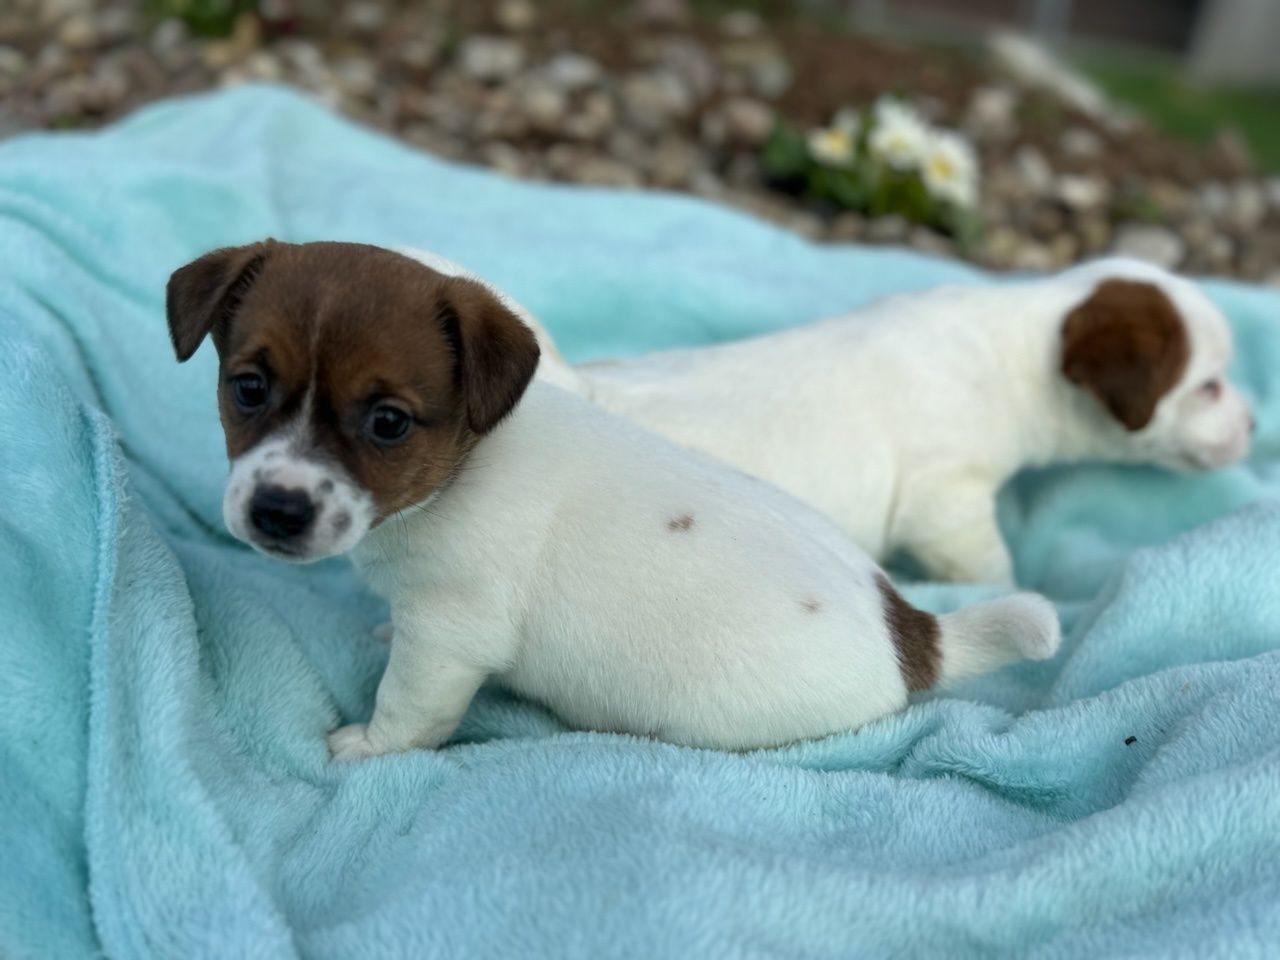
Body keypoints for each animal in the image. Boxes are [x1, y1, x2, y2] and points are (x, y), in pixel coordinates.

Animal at [162, 241, 1059, 757]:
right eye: (248, 386)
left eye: (388, 422)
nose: (278, 511)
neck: (462, 468)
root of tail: (913, 633)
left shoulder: (450, 638)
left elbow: (410, 708)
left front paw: (367, 748)